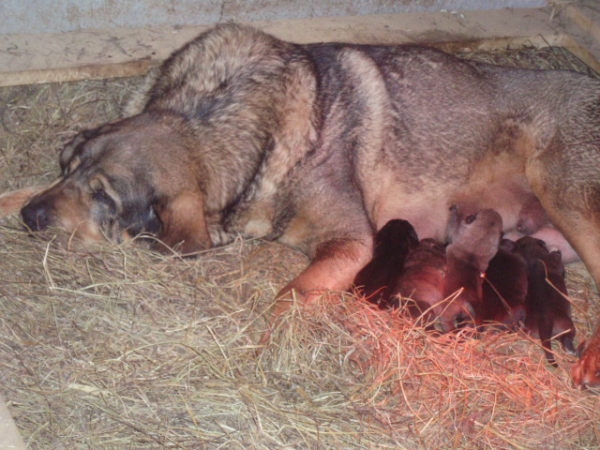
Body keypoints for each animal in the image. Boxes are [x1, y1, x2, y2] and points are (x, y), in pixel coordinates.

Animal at [510, 236, 576, 366]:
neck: (530, 254)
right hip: (568, 325)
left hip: (531, 330)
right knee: (567, 339)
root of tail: (545, 321)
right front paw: (556, 251)